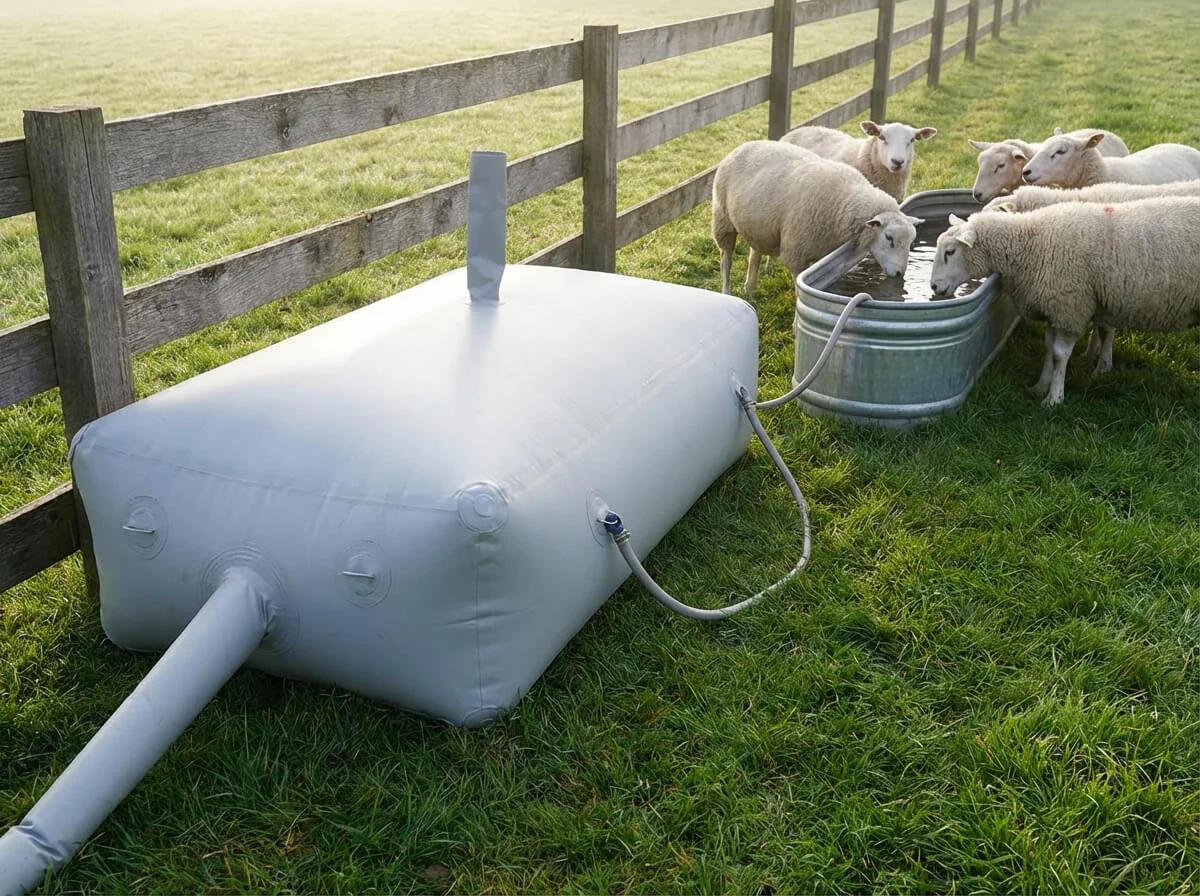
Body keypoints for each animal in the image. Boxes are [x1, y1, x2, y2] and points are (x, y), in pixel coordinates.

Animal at [711, 140, 924, 298]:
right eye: (889, 238)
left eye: (912, 241)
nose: (899, 274)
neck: (845, 199)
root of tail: (746, 144)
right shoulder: (795, 254)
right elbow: (800, 290)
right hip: (723, 220)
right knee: (726, 260)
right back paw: (727, 292)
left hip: (760, 226)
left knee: (754, 253)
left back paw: (750, 287)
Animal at [929, 197, 1200, 406]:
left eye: (950, 252)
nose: (933, 287)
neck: (1031, 242)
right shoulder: (1054, 309)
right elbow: (1049, 348)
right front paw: (1040, 386)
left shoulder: (1071, 307)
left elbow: (1060, 355)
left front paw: (1054, 398)